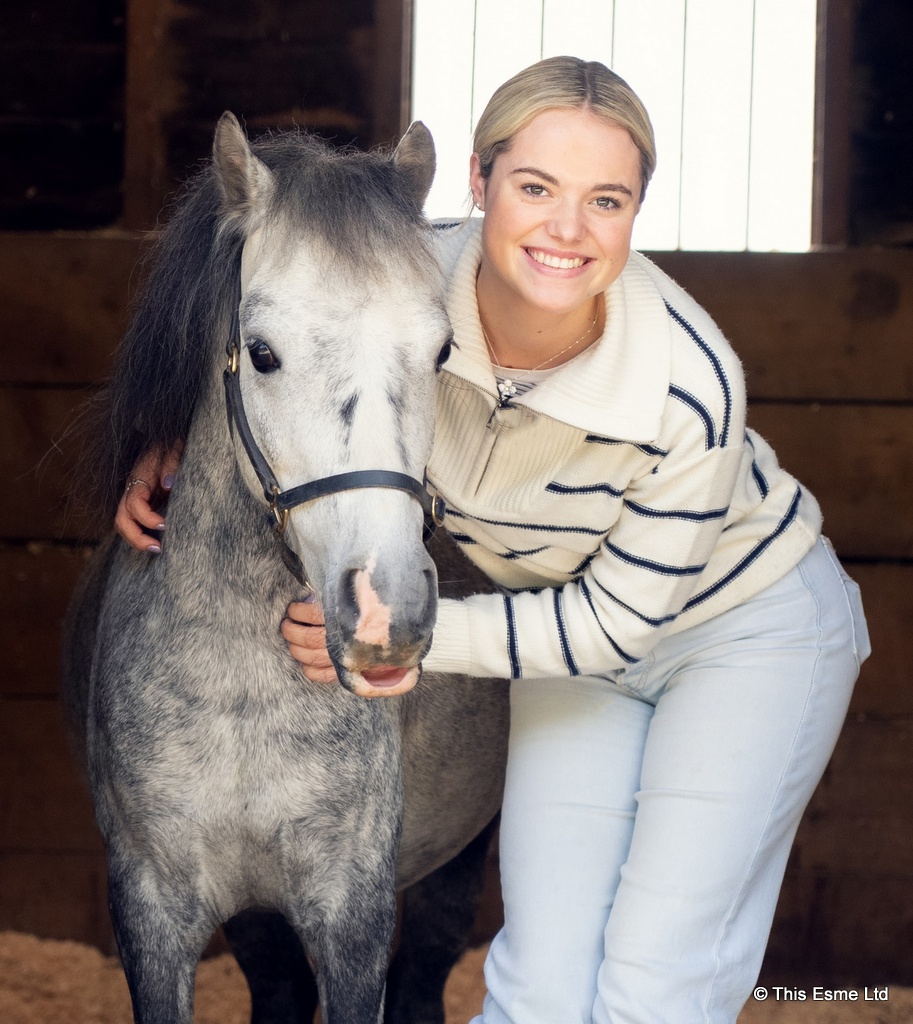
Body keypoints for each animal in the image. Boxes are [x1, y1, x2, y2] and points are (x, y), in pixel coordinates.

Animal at [62, 113, 508, 1024]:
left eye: (441, 351)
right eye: (261, 353)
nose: (385, 612)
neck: (239, 693)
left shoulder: (353, 915)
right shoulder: (152, 914)